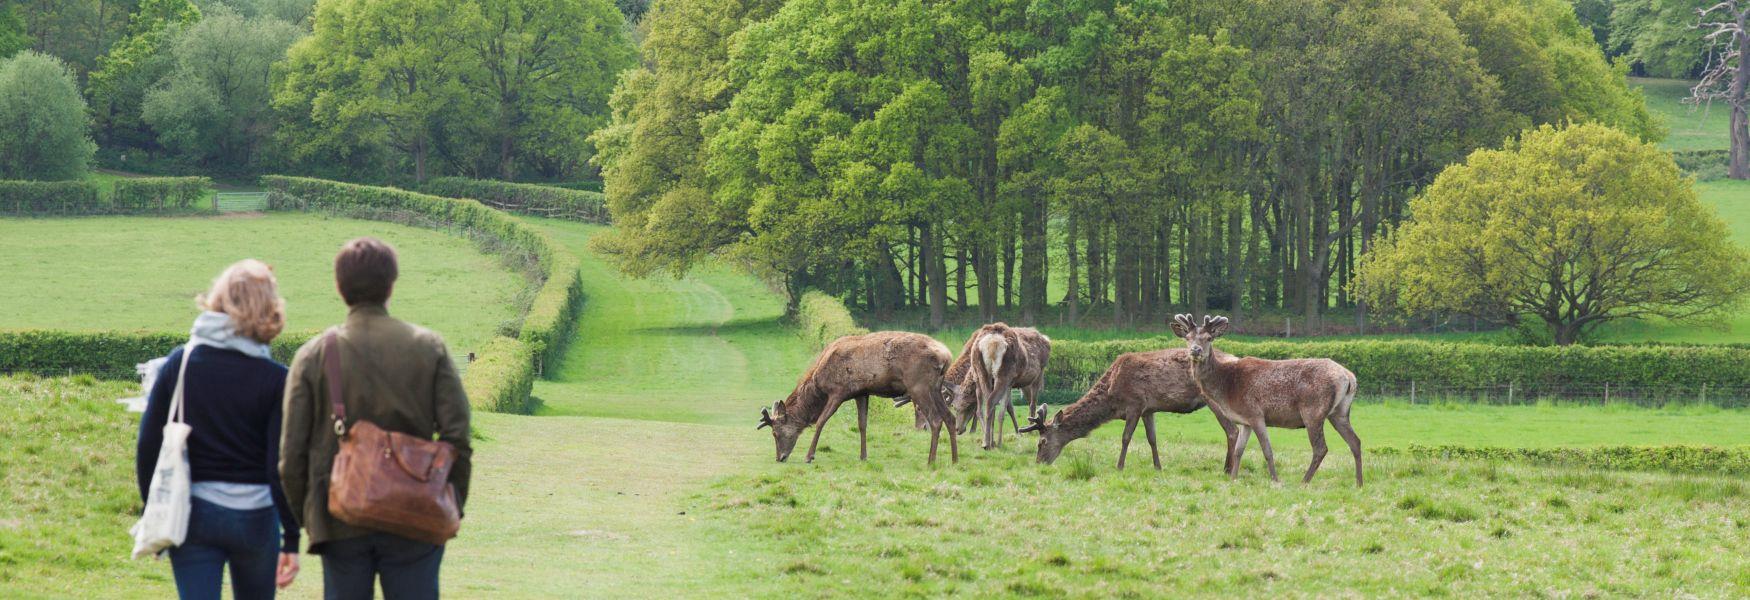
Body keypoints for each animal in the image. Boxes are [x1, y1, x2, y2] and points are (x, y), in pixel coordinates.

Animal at [759, 330, 966, 468]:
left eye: (775, 433)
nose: (780, 457)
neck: (819, 382)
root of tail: (946, 356)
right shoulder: (861, 393)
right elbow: (862, 424)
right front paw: (863, 456)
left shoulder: (839, 391)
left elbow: (821, 421)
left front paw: (809, 456)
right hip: (935, 387)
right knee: (949, 417)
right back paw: (955, 460)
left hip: (918, 385)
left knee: (935, 420)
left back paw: (931, 461)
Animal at [1015, 349, 1246, 472]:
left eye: (1042, 441)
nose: (1039, 463)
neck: (1111, 399)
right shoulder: (1148, 409)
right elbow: (1152, 439)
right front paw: (1158, 466)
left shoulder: (1135, 404)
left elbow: (1126, 437)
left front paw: (1119, 466)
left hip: (1213, 399)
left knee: (1232, 431)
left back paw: (1226, 469)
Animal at [1176, 314, 1365, 489]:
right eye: (1187, 338)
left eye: (1209, 338)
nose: (1195, 350)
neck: (1226, 387)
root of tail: (1349, 377)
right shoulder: (1245, 421)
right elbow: (1239, 451)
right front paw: (1233, 479)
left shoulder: (1255, 414)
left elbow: (1267, 450)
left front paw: (1275, 480)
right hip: (1339, 413)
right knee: (1355, 441)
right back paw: (1359, 483)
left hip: (1313, 411)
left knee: (1321, 448)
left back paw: (1303, 482)